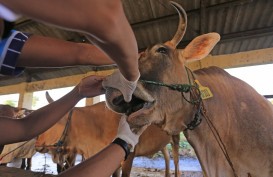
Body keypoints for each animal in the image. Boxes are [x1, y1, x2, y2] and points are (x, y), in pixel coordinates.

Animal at [36, 93, 180, 176]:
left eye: (54, 122)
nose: (36, 143)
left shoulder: (128, 156)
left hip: (176, 136)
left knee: (176, 160)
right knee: (167, 156)